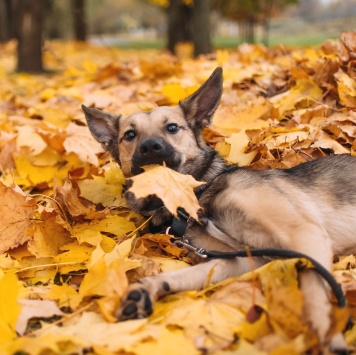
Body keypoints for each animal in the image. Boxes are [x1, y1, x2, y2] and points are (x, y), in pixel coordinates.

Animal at [82, 67, 356, 350]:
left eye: (172, 128)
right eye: (129, 135)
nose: (150, 147)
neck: (194, 202)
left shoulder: (304, 233)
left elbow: (314, 286)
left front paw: (328, 336)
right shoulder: (246, 260)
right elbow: (189, 273)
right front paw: (147, 288)